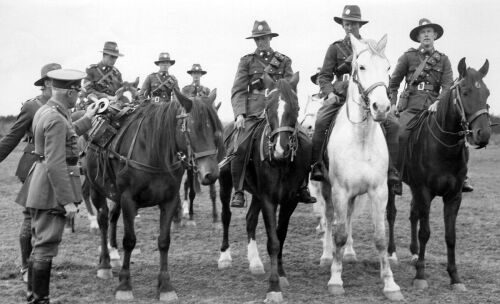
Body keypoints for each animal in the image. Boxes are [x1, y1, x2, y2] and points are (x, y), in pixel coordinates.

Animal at [85, 88, 222, 302]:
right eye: (192, 129)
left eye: (215, 131)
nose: (212, 174)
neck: (153, 151)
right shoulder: (128, 199)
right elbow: (130, 241)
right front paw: (124, 285)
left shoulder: (169, 200)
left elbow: (164, 241)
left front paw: (165, 285)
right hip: (96, 189)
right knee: (103, 221)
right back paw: (105, 263)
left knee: (113, 218)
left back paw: (113, 254)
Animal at [217, 72, 310, 302]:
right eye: (268, 107)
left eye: (295, 107)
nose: (280, 151)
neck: (282, 164)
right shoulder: (269, 199)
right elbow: (273, 242)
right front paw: (273, 287)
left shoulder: (290, 201)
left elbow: (281, 235)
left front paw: (281, 275)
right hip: (225, 183)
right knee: (226, 216)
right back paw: (224, 257)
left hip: (257, 195)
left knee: (250, 220)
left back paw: (256, 263)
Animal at [318, 34, 404, 300]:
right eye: (362, 67)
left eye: (388, 67)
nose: (382, 107)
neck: (362, 138)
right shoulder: (339, 191)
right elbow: (339, 233)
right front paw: (335, 279)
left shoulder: (379, 191)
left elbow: (380, 237)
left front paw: (390, 283)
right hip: (326, 188)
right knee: (331, 218)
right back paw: (327, 256)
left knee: (348, 218)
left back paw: (349, 253)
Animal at [386, 58, 492, 290]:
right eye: (465, 91)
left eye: (487, 93)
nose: (484, 134)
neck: (444, 147)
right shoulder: (425, 192)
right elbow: (425, 232)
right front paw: (420, 276)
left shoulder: (454, 196)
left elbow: (450, 236)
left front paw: (455, 277)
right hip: (391, 184)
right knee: (391, 213)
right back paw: (391, 253)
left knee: (413, 213)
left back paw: (414, 253)